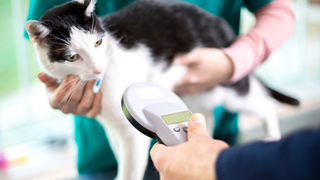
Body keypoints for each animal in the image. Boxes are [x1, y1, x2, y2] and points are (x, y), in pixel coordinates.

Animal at [26, 0, 298, 179]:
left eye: (98, 42)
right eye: (72, 57)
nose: (99, 68)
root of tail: (223, 26)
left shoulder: (131, 133)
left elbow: (130, 169)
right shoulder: (113, 126)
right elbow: (120, 155)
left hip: (229, 86)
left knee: (263, 103)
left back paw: (271, 136)